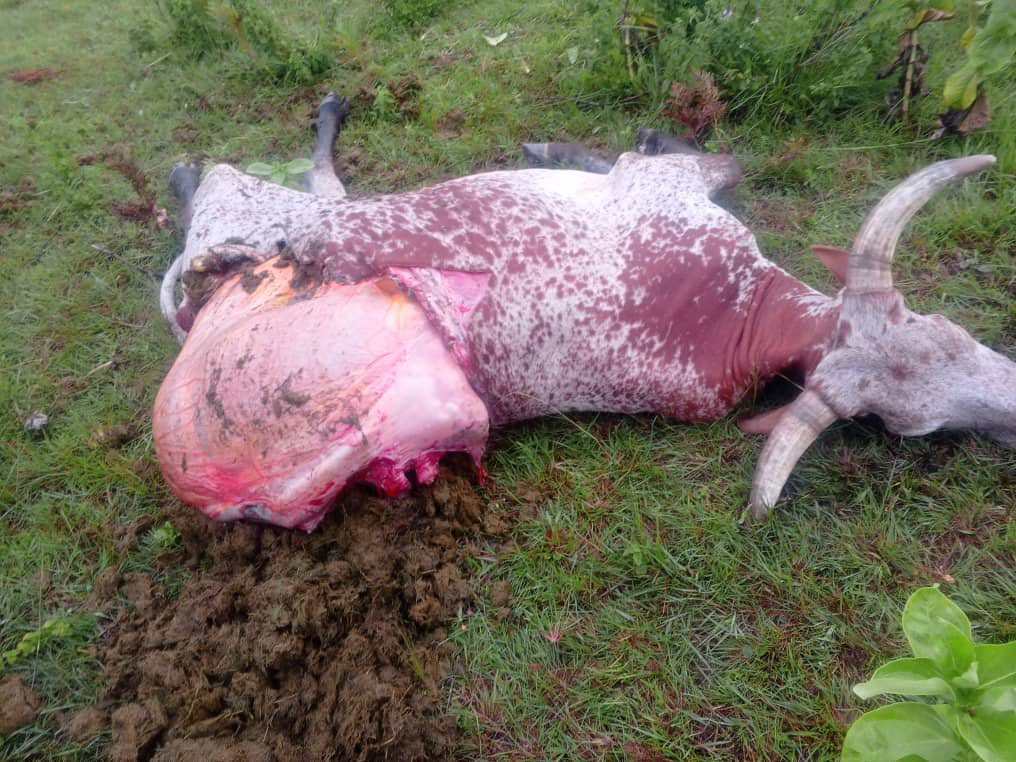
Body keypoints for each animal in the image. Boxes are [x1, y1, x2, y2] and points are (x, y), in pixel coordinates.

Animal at [153, 93, 1015, 531]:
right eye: (908, 430)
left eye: (959, 337)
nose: (1011, 414)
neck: (740, 308)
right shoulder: (670, 187)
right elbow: (705, 155)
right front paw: (574, 146)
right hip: (246, 217)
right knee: (244, 186)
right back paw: (206, 163)